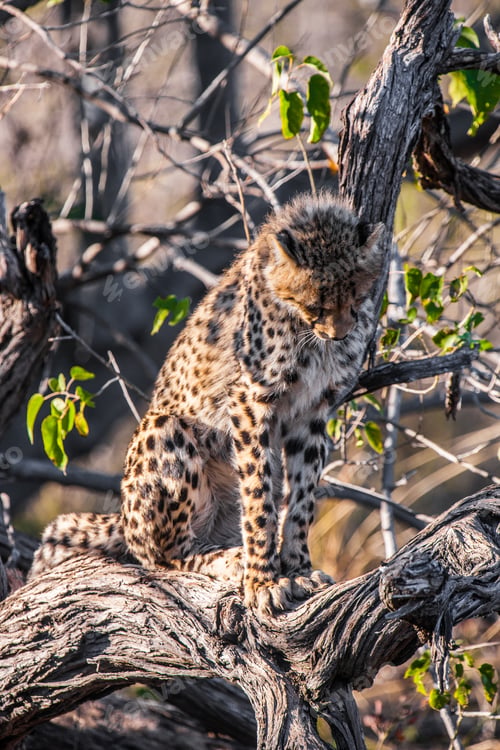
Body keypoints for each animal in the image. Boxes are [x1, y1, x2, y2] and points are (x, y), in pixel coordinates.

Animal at [30, 191, 385, 615]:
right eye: (315, 304)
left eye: (357, 297)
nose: (340, 333)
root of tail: (123, 518)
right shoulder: (249, 401)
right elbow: (259, 499)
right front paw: (263, 581)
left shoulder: (312, 412)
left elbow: (301, 498)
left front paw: (297, 567)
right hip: (165, 428)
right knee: (166, 556)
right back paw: (231, 559)